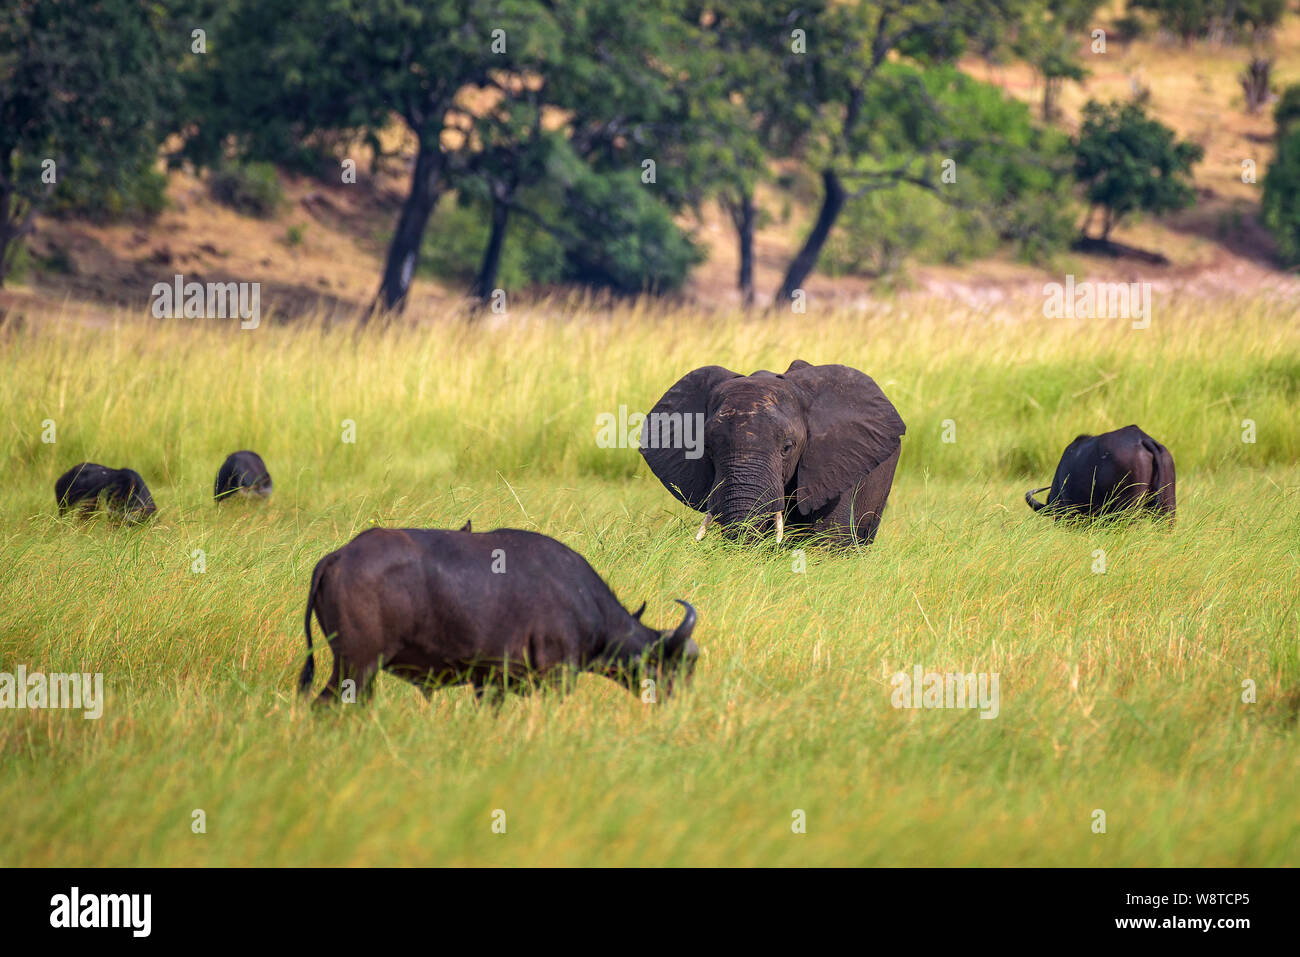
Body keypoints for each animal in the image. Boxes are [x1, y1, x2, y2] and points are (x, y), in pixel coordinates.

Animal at [299, 522, 702, 702]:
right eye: (675, 664)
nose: (676, 705)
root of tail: (339, 556)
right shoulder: (557, 678)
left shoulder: (489, 684)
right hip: (356, 668)